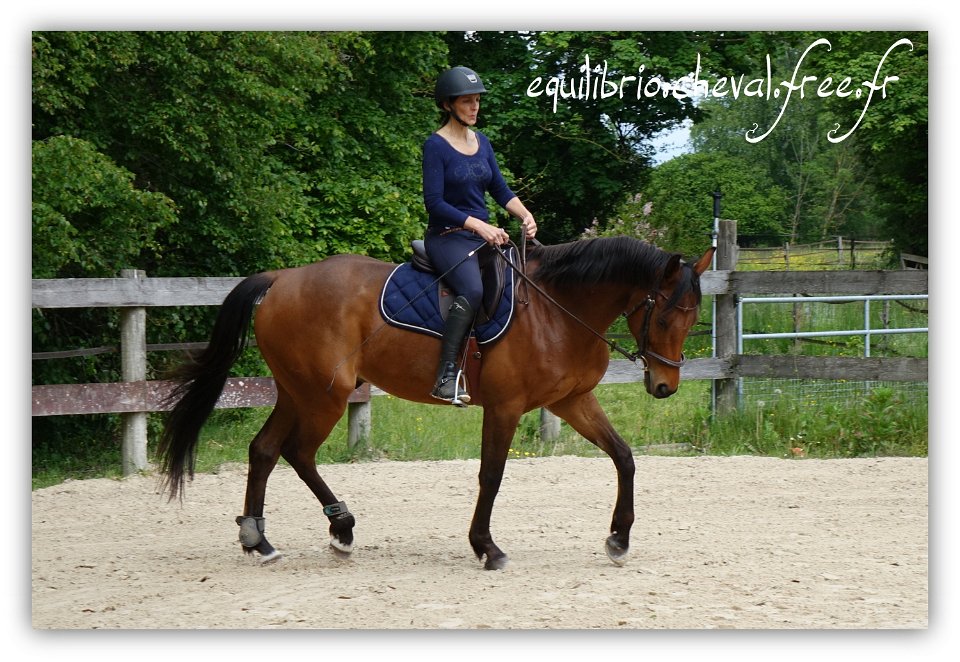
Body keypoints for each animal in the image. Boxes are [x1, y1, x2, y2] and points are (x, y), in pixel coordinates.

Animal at [159, 237, 712, 572]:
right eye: (666, 317)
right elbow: (491, 475)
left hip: (299, 392)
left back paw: (260, 540)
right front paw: (487, 547)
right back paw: (340, 528)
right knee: (297, 453)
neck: (557, 309)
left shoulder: (572, 400)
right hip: (324, 397)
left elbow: (624, 456)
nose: (666, 386)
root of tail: (283, 277)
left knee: (264, 451)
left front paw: (618, 540)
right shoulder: (506, 407)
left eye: (692, 318)